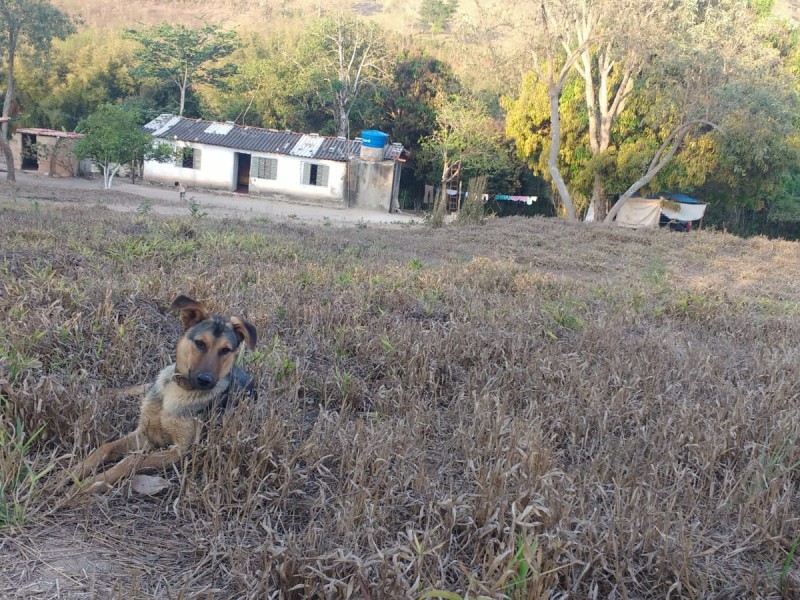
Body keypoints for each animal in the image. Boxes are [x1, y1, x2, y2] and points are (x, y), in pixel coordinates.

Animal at [73, 294, 256, 492]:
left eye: (225, 350)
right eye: (200, 343)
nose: (205, 380)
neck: (180, 391)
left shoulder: (180, 451)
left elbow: (134, 460)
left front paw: (91, 484)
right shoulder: (144, 433)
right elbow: (104, 448)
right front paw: (70, 473)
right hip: (155, 382)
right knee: (139, 388)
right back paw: (101, 393)